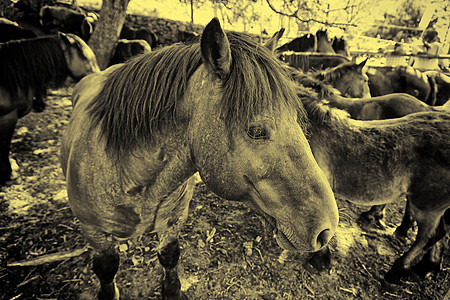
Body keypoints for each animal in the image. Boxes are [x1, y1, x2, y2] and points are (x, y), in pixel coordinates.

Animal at [59, 18, 338, 298]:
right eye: (256, 131)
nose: (327, 229)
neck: (128, 173)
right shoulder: (95, 233)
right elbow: (107, 269)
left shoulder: (173, 223)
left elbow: (169, 258)